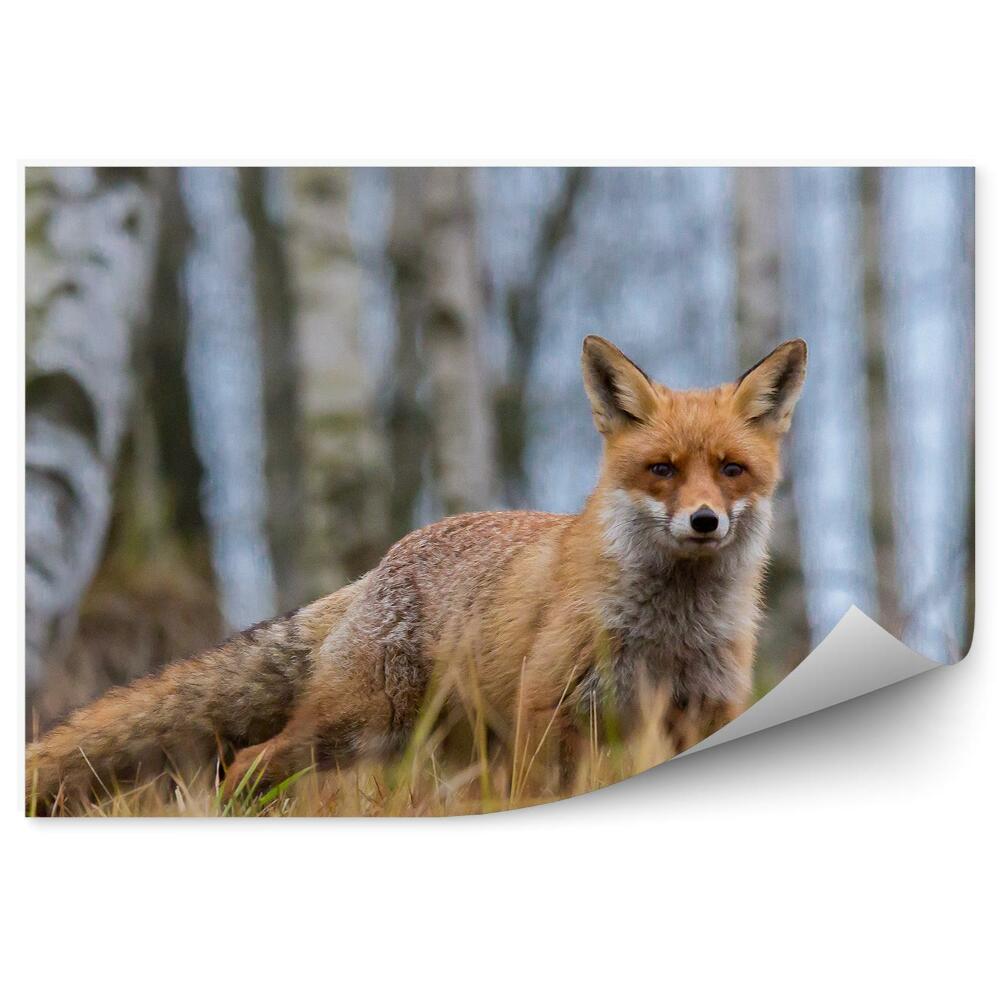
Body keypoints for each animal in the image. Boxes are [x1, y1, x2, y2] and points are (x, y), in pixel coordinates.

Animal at [26, 335, 807, 810]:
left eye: (731, 470)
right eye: (662, 470)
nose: (703, 522)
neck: (671, 627)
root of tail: (381, 564)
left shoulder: (705, 712)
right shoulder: (549, 710)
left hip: (437, 751)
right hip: (361, 725)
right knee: (248, 758)